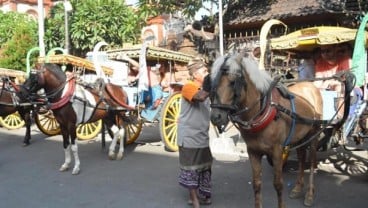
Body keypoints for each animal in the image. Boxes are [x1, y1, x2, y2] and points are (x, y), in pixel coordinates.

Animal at [208, 53, 324, 206]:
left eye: (233, 82)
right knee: (301, 158)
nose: (216, 117)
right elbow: (256, 184)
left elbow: (278, 184)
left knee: (310, 162)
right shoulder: (253, 152)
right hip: (301, 136)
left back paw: (310, 194)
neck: (262, 111)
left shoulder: (277, 151)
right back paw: (298, 188)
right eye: (213, 83)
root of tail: (311, 85)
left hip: (314, 134)